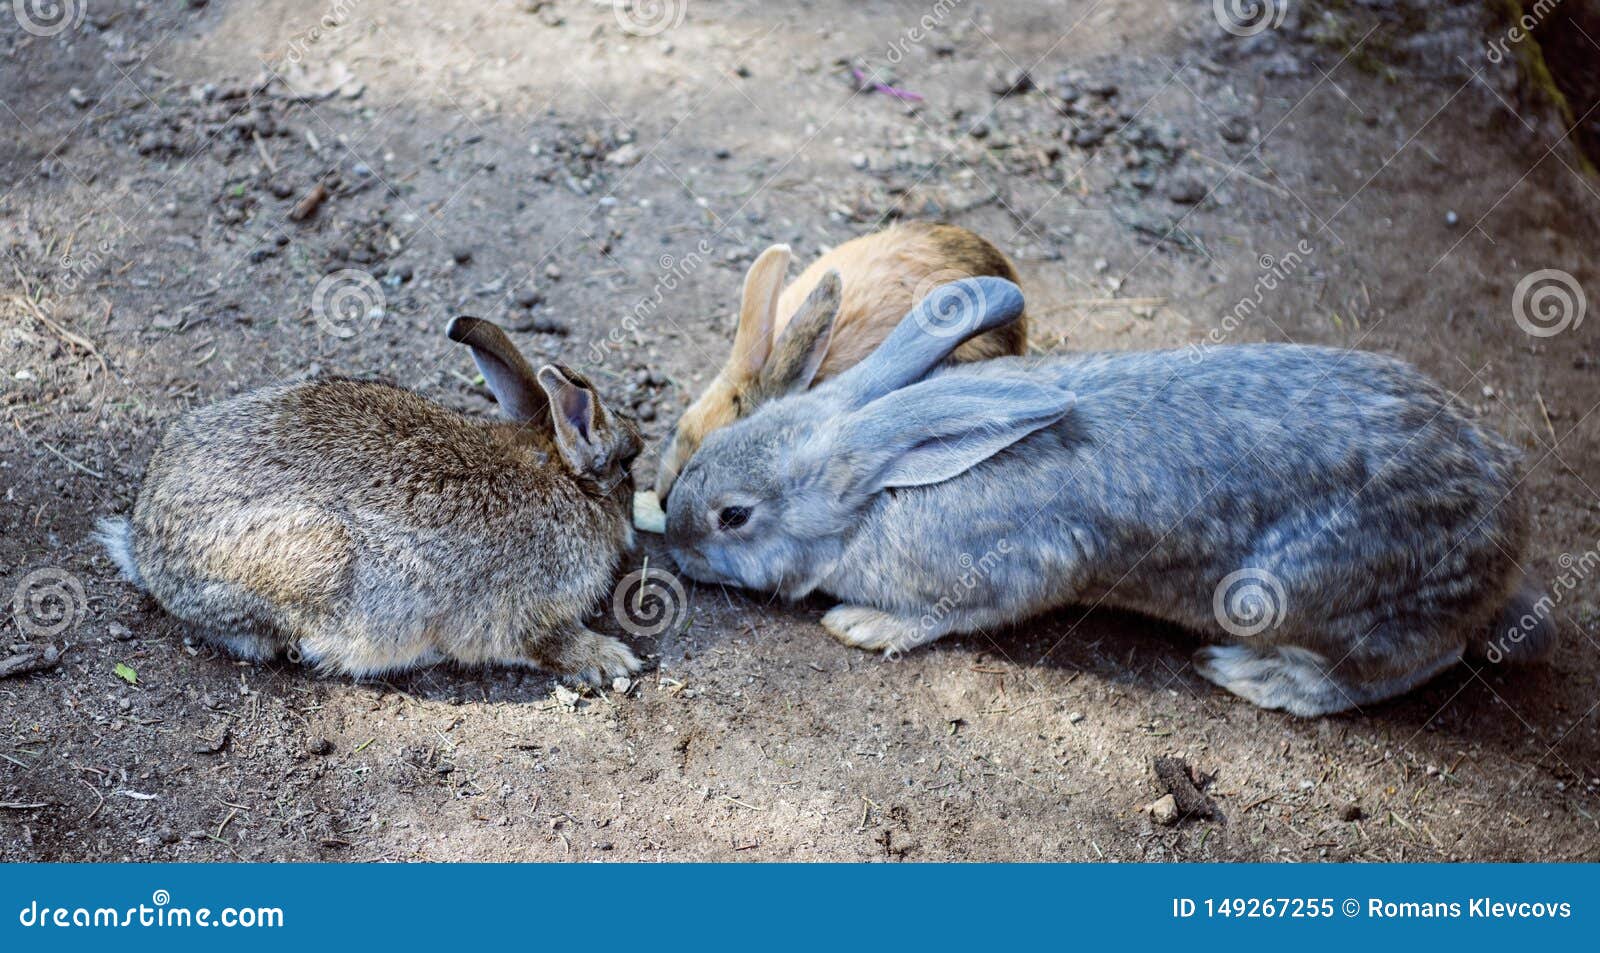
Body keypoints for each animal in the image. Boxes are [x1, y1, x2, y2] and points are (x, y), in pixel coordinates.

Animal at [96, 316, 645, 684]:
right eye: (628, 463)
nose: (635, 509)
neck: (556, 472)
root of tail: (145, 548)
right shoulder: (523, 613)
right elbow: (545, 642)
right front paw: (610, 659)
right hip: (314, 559)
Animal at [662, 277, 1555, 717]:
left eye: (734, 515)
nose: (671, 544)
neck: (885, 483)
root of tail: (1508, 522)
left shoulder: (1014, 566)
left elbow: (950, 613)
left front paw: (861, 624)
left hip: (1296, 594)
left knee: (1410, 662)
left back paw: (1254, 676)